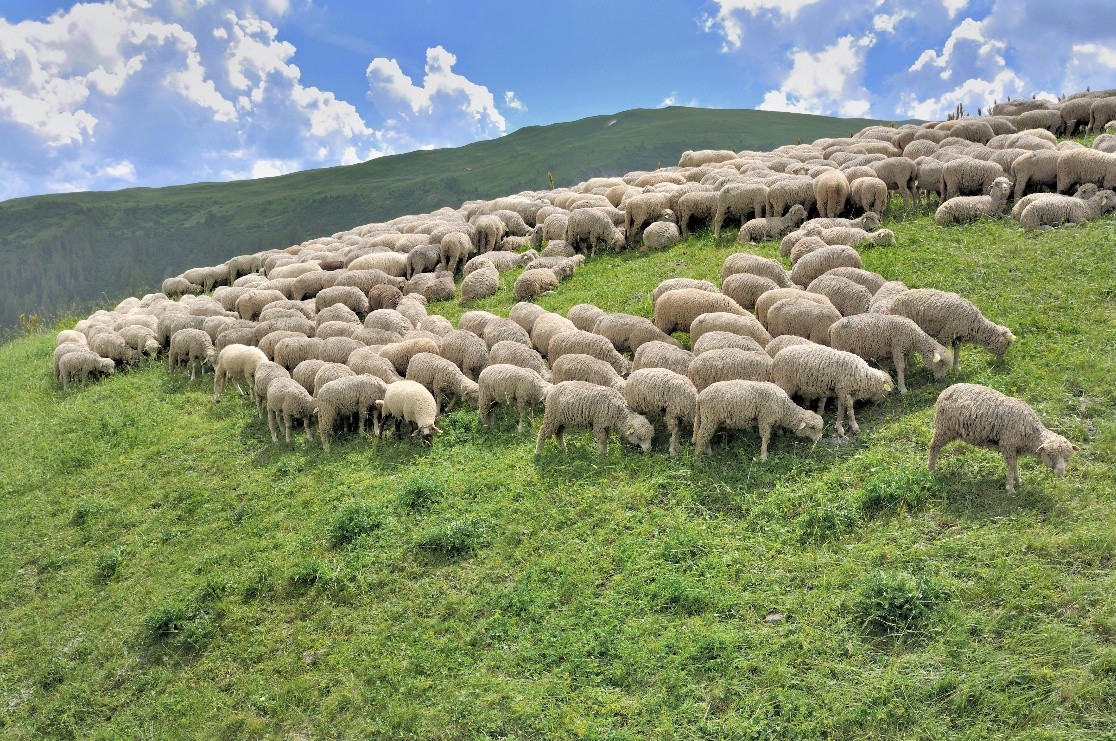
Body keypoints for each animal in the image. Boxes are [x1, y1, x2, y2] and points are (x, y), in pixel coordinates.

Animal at [692, 380, 823, 460]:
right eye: (812, 427)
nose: (820, 440)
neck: (784, 407)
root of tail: (700, 396)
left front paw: (779, 433)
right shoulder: (765, 419)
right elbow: (766, 437)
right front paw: (763, 456)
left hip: (710, 419)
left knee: (705, 436)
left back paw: (708, 452)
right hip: (710, 417)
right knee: (701, 436)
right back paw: (698, 459)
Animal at [929, 383, 1078, 492]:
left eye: (1068, 457)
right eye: (1050, 455)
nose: (1060, 472)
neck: (1031, 432)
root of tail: (945, 391)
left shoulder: (1015, 450)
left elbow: (1015, 466)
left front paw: (1018, 481)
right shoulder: (1008, 445)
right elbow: (1011, 467)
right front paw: (1010, 488)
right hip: (944, 428)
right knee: (933, 447)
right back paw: (931, 469)